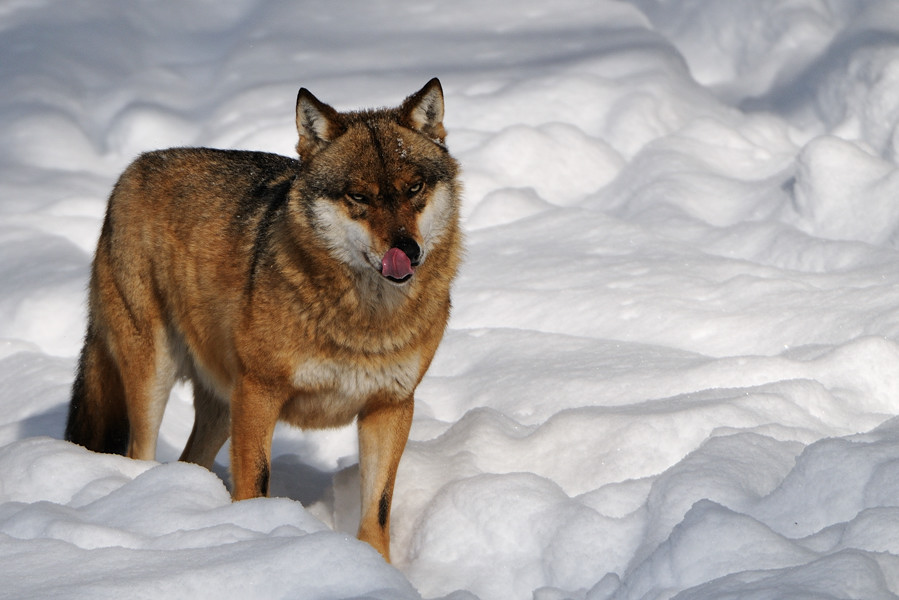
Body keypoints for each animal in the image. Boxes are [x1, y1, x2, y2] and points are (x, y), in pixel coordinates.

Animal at [64, 78, 462, 561]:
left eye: (414, 188)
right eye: (359, 197)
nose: (407, 249)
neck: (366, 320)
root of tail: (131, 170)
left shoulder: (390, 406)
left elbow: (378, 509)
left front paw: (378, 567)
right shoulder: (259, 392)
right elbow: (255, 482)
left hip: (221, 404)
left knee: (188, 462)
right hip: (155, 377)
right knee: (138, 453)